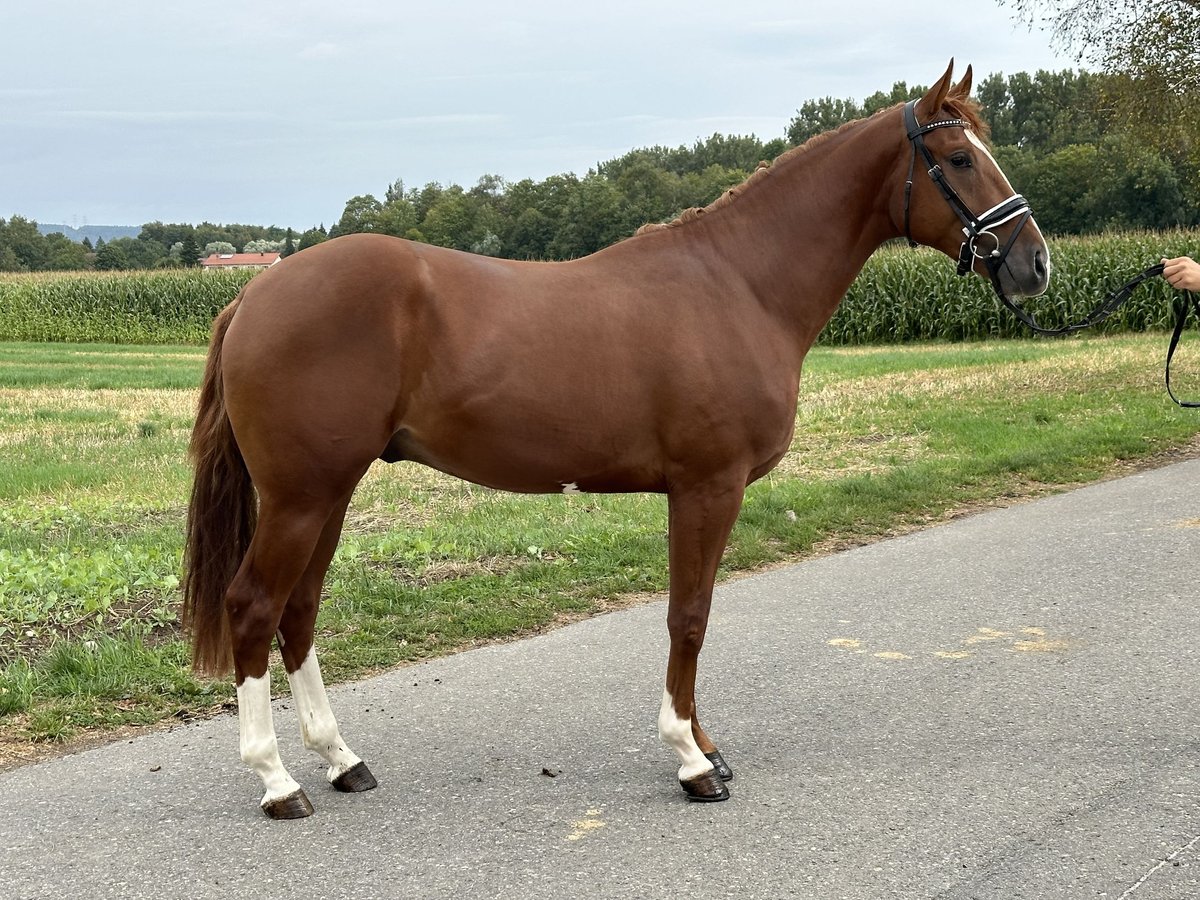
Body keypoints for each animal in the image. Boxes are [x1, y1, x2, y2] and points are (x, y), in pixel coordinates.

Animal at [180, 63, 1051, 816]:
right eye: (957, 158)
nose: (1035, 263)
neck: (739, 283)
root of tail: (256, 293)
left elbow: (692, 615)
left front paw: (707, 744)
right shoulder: (707, 486)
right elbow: (689, 616)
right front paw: (692, 762)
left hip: (328, 494)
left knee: (299, 614)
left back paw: (341, 761)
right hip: (301, 497)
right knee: (254, 609)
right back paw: (277, 782)